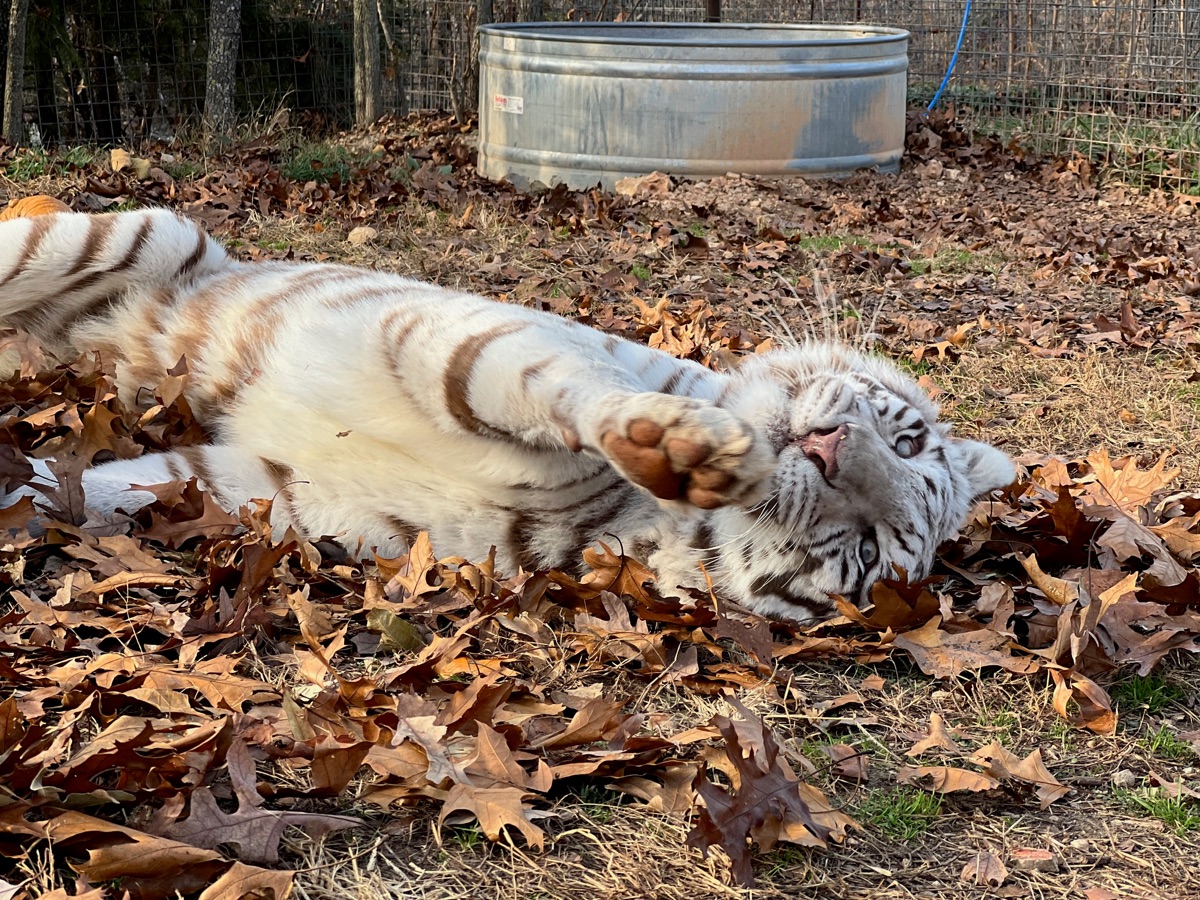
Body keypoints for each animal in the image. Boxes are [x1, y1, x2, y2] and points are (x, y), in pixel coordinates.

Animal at [0, 206, 1014, 623]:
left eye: (868, 551)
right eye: (907, 436)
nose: (833, 448)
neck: (647, 519)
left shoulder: (272, 489)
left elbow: (86, 491)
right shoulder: (480, 337)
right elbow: (574, 389)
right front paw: (684, 444)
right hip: (139, 233)